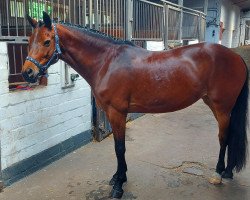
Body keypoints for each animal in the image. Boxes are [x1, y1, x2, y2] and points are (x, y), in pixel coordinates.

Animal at [22, 12, 249, 198]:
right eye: (29, 40)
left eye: (47, 41)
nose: (27, 73)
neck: (107, 61)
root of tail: (236, 57)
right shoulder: (113, 113)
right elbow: (117, 148)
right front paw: (117, 178)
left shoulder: (117, 112)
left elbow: (119, 148)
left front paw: (118, 186)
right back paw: (228, 171)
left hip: (222, 107)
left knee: (223, 137)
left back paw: (218, 174)